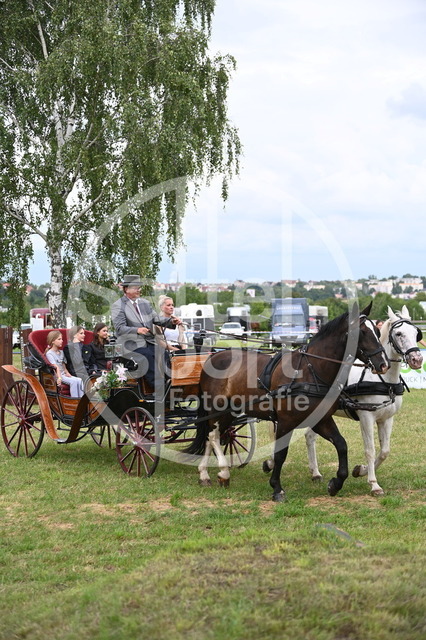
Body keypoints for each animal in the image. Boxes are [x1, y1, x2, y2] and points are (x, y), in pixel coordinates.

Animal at [185, 302, 389, 501]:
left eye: (377, 331)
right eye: (362, 332)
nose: (383, 364)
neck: (309, 371)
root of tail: (213, 356)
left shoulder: (321, 420)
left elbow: (341, 445)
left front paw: (336, 483)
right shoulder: (285, 422)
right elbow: (280, 454)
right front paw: (277, 488)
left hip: (229, 412)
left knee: (213, 436)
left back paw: (207, 474)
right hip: (216, 408)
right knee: (213, 436)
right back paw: (222, 472)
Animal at [304, 305, 423, 496]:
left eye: (415, 332)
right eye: (398, 334)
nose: (417, 360)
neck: (383, 380)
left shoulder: (387, 419)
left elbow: (384, 451)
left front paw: (360, 470)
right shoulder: (366, 417)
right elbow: (370, 450)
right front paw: (374, 484)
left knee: (309, 436)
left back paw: (315, 473)